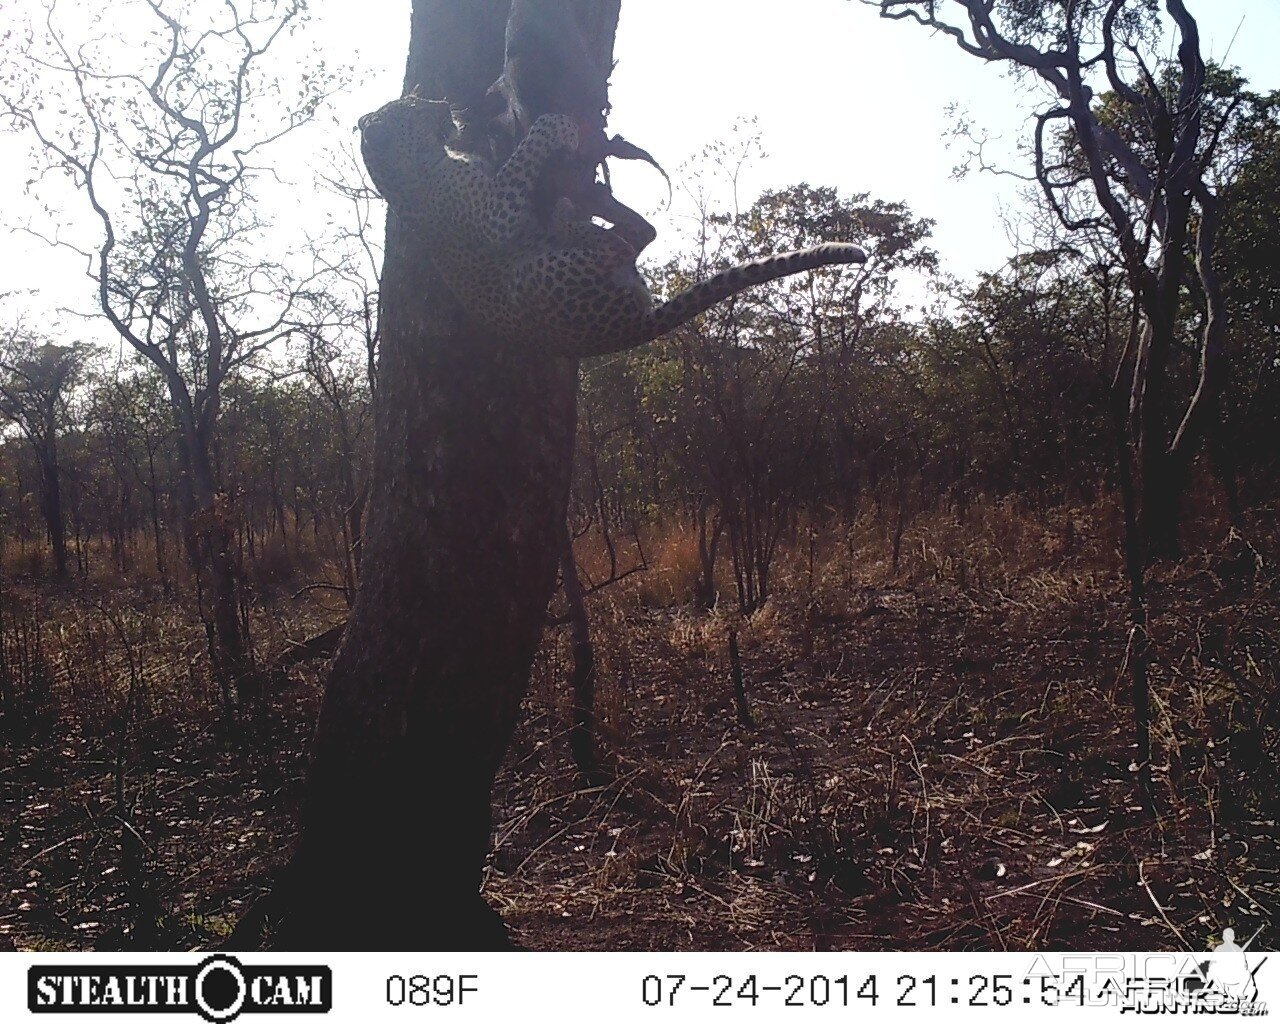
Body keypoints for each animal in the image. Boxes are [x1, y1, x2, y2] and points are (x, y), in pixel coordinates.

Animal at [355, 94, 865, 360]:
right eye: (414, 105)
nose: (443, 101)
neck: (406, 172)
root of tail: (629, 330)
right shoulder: (495, 217)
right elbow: (529, 148)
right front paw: (556, 124)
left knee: (642, 235)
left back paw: (594, 199)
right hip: (537, 276)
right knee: (627, 242)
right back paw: (568, 212)